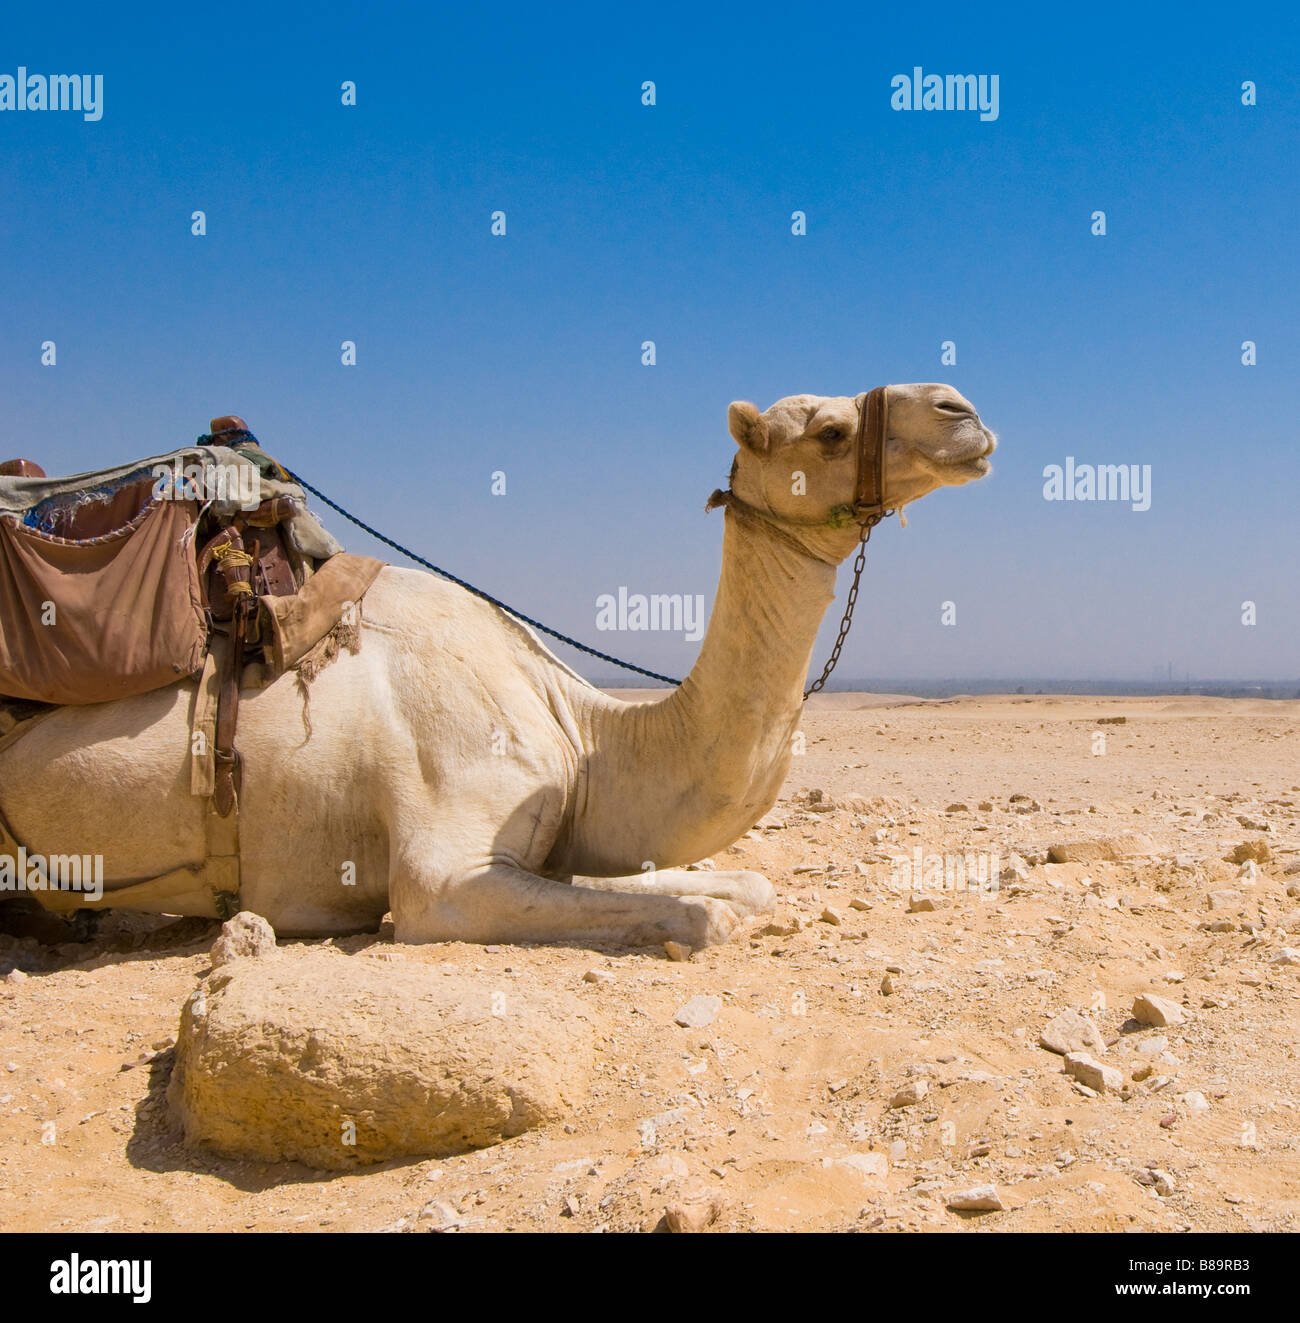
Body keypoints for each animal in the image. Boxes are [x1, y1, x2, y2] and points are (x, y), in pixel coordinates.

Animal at [2, 383, 994, 952]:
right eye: (828, 431)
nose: (963, 411)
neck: (583, 729)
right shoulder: (441, 874)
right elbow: (701, 916)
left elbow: (738, 881)